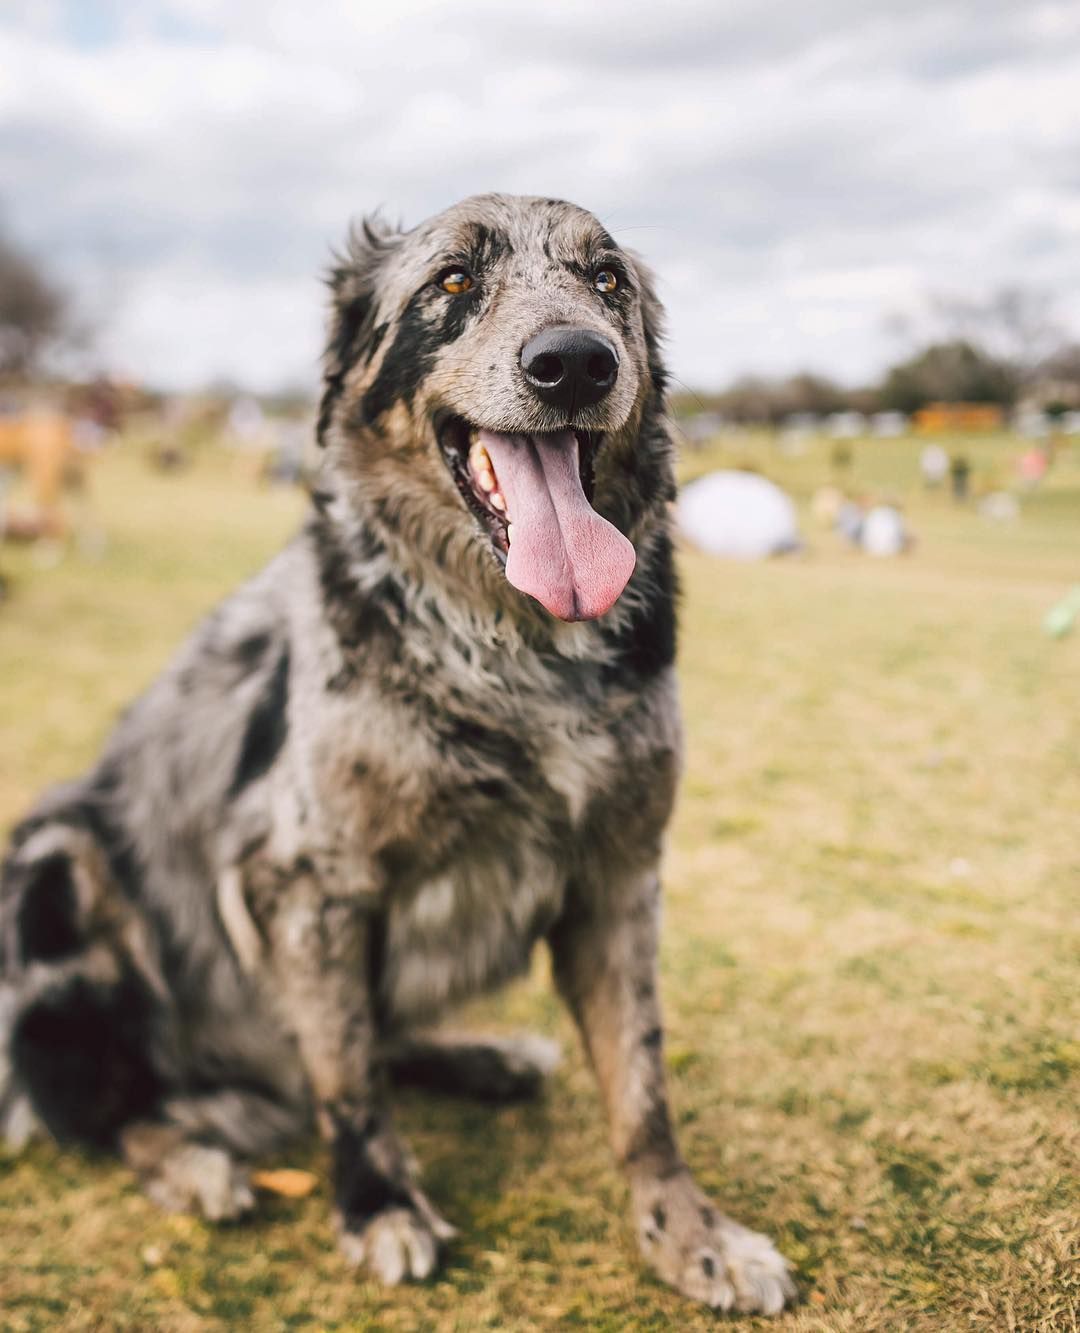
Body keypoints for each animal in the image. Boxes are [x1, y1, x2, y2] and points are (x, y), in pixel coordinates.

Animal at [0, 194, 789, 1311]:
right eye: (451, 281)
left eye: (607, 282)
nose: (576, 364)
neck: (510, 647)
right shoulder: (306, 878)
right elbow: (347, 1077)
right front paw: (380, 1204)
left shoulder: (619, 877)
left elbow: (642, 1087)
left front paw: (689, 1230)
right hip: (56, 860)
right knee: (102, 1108)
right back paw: (192, 1159)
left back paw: (480, 1057)